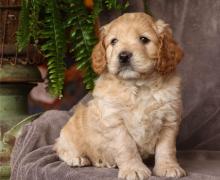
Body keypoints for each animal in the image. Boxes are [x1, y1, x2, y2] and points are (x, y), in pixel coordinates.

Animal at [54, 11, 186, 179]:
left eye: (144, 39)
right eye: (114, 41)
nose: (123, 56)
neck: (137, 86)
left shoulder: (169, 119)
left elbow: (167, 148)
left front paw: (168, 167)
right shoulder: (115, 121)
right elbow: (127, 147)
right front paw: (133, 169)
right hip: (69, 133)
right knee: (61, 148)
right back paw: (77, 158)